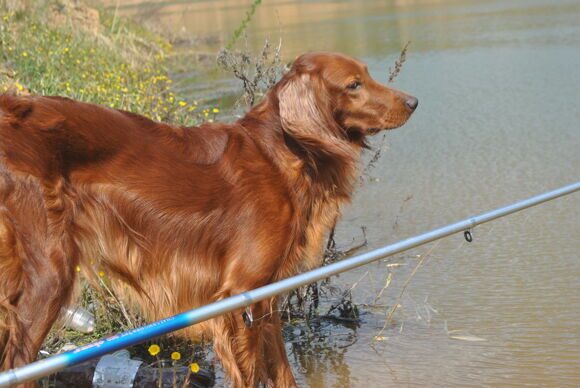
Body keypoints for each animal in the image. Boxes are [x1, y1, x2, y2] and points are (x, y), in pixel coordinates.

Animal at [0, 51, 416, 384]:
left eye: (367, 75)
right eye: (354, 84)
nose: (413, 101)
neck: (282, 152)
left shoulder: (265, 301)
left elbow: (282, 372)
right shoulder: (241, 297)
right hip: (46, 276)